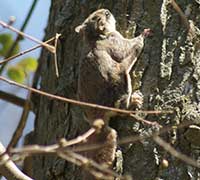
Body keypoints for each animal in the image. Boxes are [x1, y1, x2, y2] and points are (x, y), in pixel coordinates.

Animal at [76, 8, 151, 180]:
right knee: (122, 109)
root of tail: (98, 119)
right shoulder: (115, 41)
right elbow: (129, 47)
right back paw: (134, 101)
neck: (94, 37)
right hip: (122, 81)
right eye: (104, 17)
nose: (107, 10)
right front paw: (143, 34)